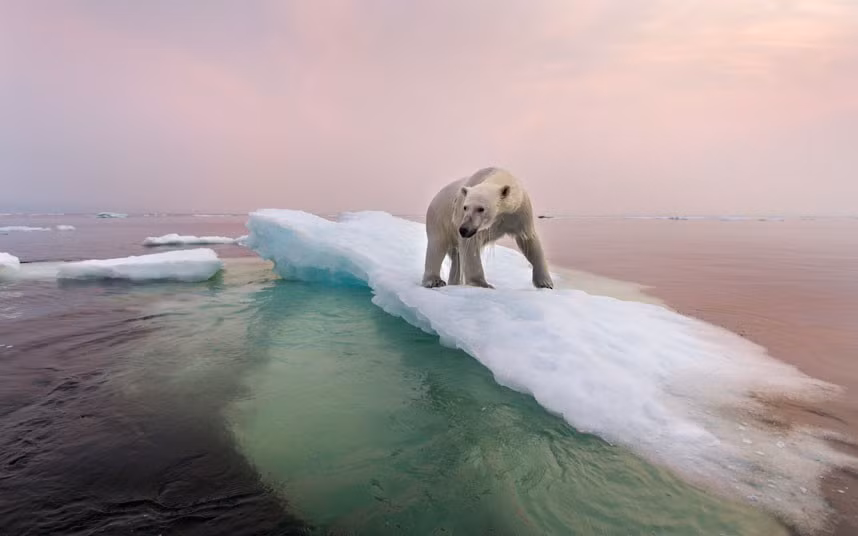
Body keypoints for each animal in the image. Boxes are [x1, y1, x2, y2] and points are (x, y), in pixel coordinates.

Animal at [421, 167, 554, 289]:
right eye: (465, 207)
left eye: (481, 208)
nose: (463, 229)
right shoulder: (463, 218)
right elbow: (471, 247)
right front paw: (483, 284)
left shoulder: (519, 212)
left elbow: (529, 241)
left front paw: (546, 283)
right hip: (439, 219)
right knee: (437, 246)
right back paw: (435, 281)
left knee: (456, 258)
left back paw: (454, 282)